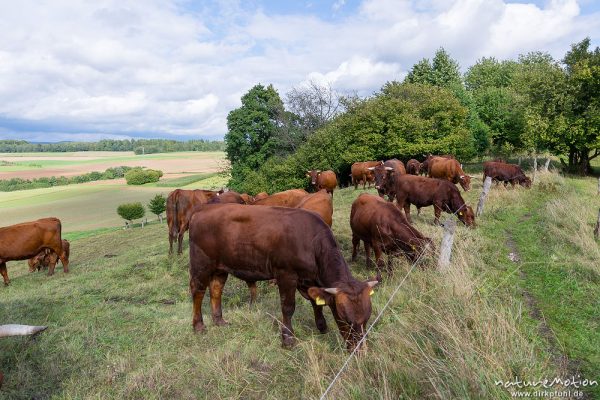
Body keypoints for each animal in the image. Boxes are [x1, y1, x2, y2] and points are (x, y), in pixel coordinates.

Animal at [189, 205, 376, 352]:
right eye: (344, 318)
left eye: (367, 319)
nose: (359, 350)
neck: (310, 242)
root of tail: (202, 210)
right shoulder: (286, 274)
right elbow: (288, 307)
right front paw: (288, 339)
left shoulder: (309, 280)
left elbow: (316, 303)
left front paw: (322, 326)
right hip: (201, 263)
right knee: (198, 291)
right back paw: (199, 326)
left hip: (220, 268)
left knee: (216, 289)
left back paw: (219, 321)